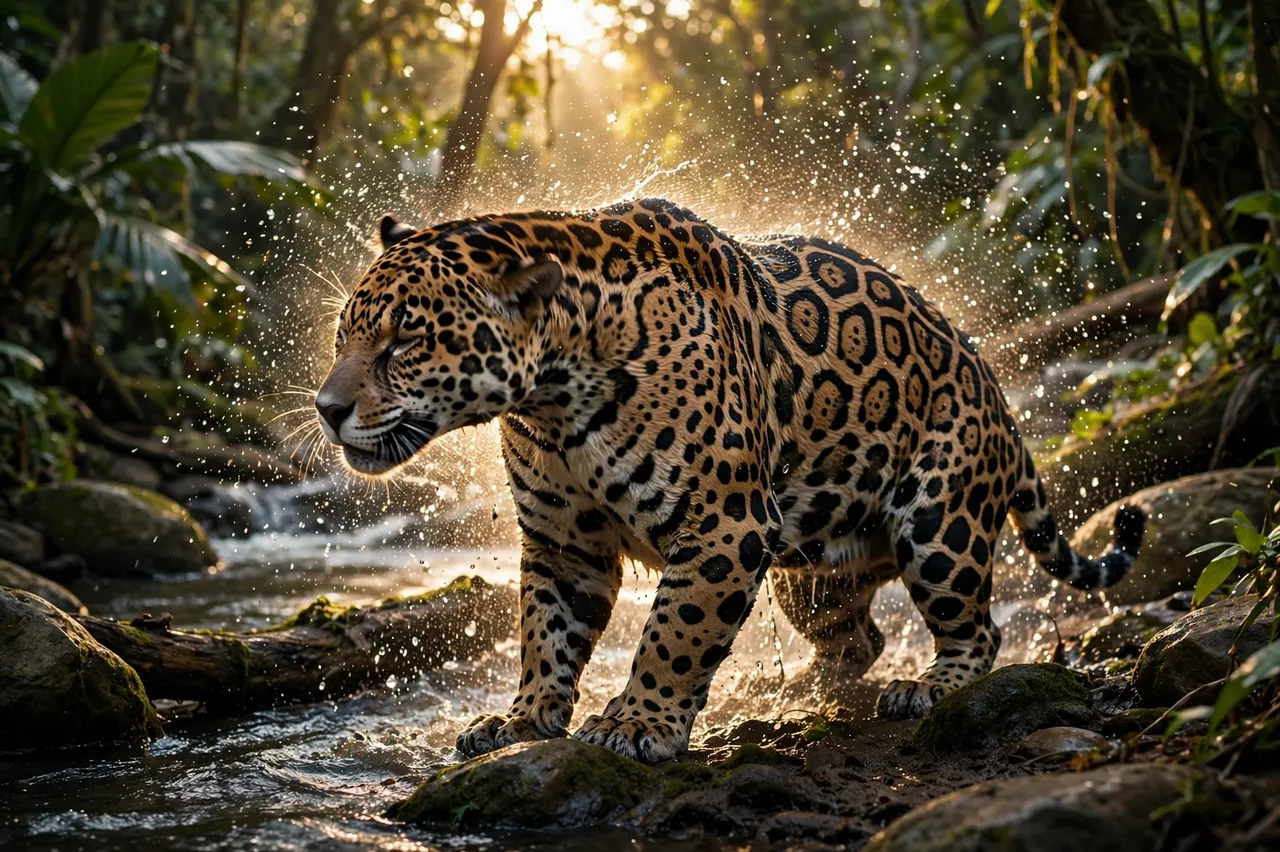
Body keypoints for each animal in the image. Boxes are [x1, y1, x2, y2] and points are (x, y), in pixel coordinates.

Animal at [314, 197, 1146, 764]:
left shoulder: (725, 526)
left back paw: (930, 687)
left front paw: (636, 724)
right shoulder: (563, 542)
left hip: (940, 520)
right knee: (861, 635)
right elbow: (545, 633)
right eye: (344, 336)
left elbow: (675, 633)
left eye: (405, 342)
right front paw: (523, 720)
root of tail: (998, 395)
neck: (552, 398)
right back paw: (806, 689)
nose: (327, 409)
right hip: (812, 571)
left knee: (978, 626)